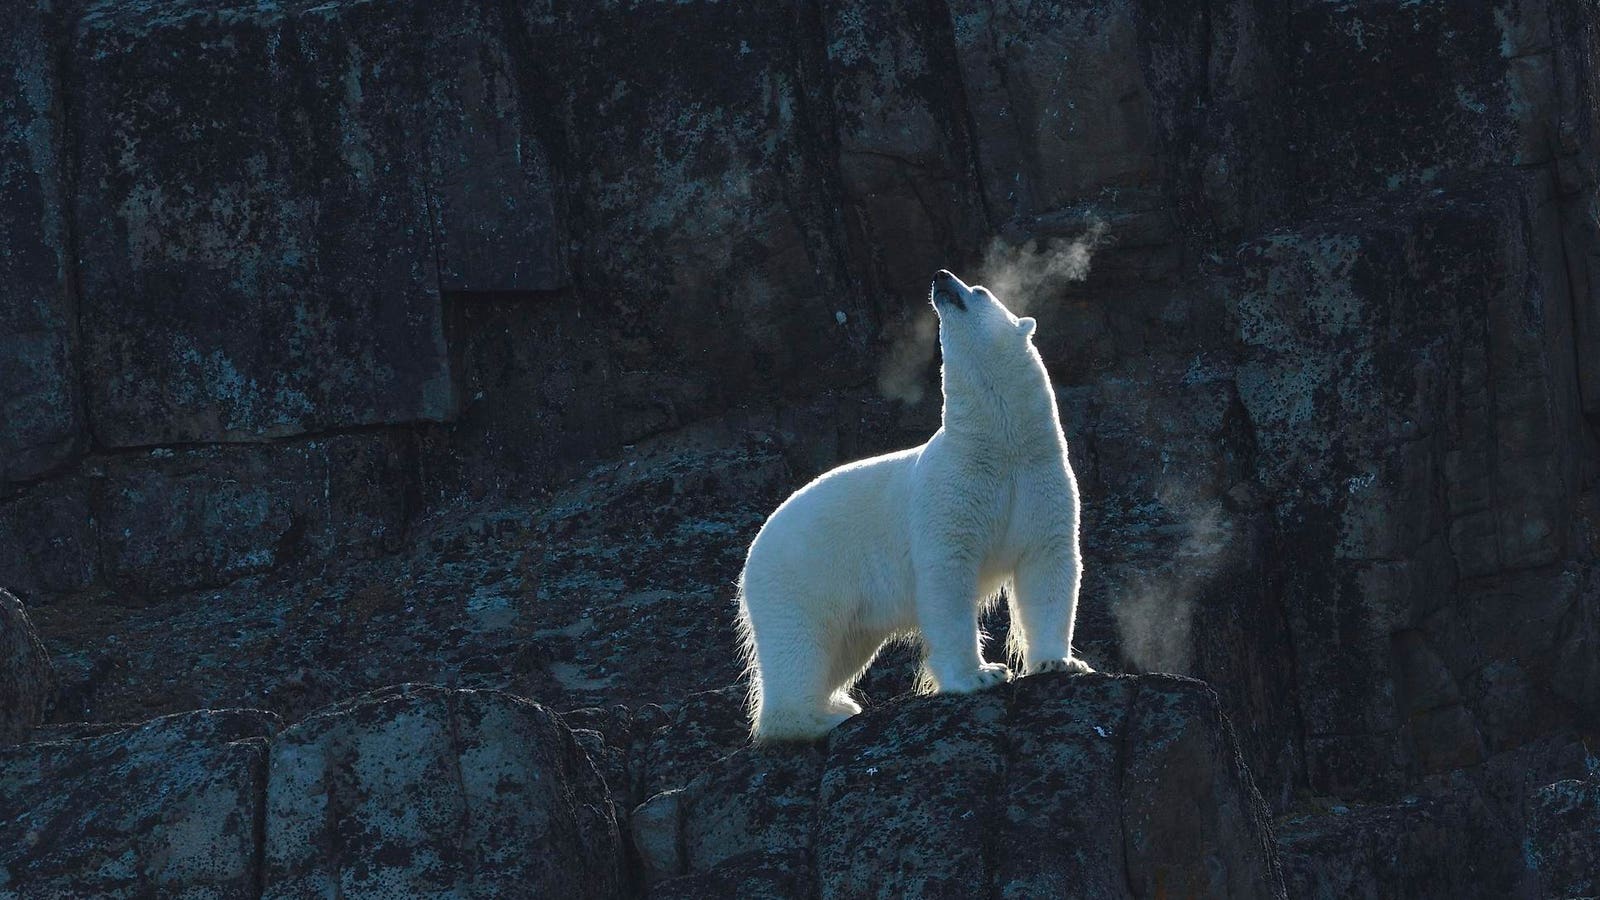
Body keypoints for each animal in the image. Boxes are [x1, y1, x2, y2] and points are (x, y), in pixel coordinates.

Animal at [736, 269, 1091, 742]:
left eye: (979, 290)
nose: (941, 278)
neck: (998, 448)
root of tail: (751, 555)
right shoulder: (949, 494)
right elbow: (947, 579)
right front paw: (981, 675)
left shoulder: (1040, 483)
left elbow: (1047, 565)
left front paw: (1059, 661)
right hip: (800, 576)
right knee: (800, 645)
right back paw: (824, 717)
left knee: (843, 648)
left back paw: (836, 702)